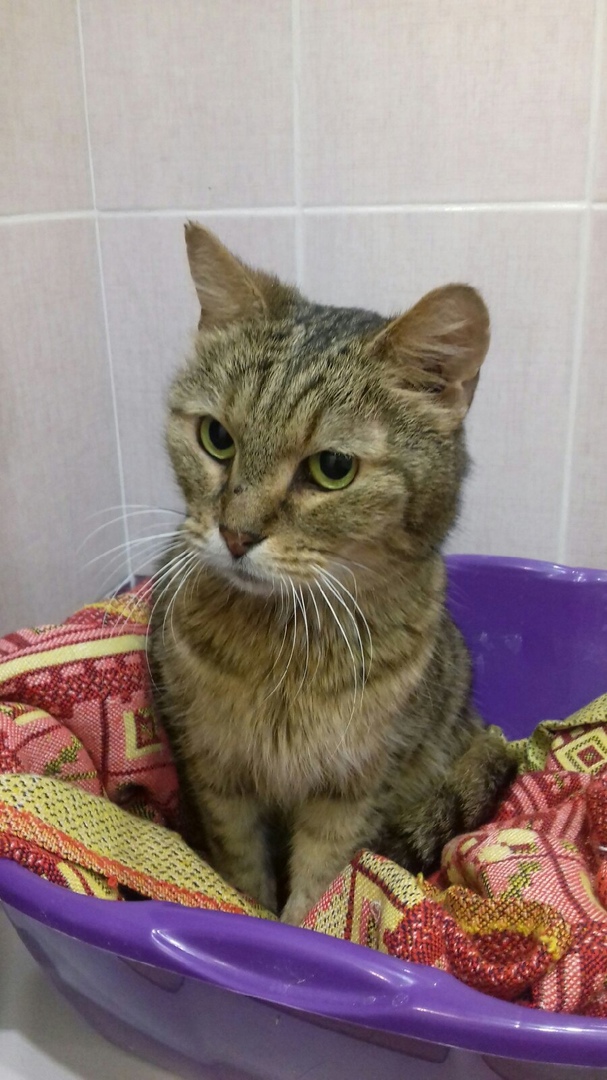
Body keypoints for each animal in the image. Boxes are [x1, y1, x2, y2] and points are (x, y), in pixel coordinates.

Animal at [148, 222, 516, 925]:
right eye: (216, 437)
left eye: (333, 469)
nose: (235, 534)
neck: (281, 646)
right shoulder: (216, 774)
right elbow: (242, 868)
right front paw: (249, 916)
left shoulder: (354, 792)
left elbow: (321, 889)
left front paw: (298, 935)